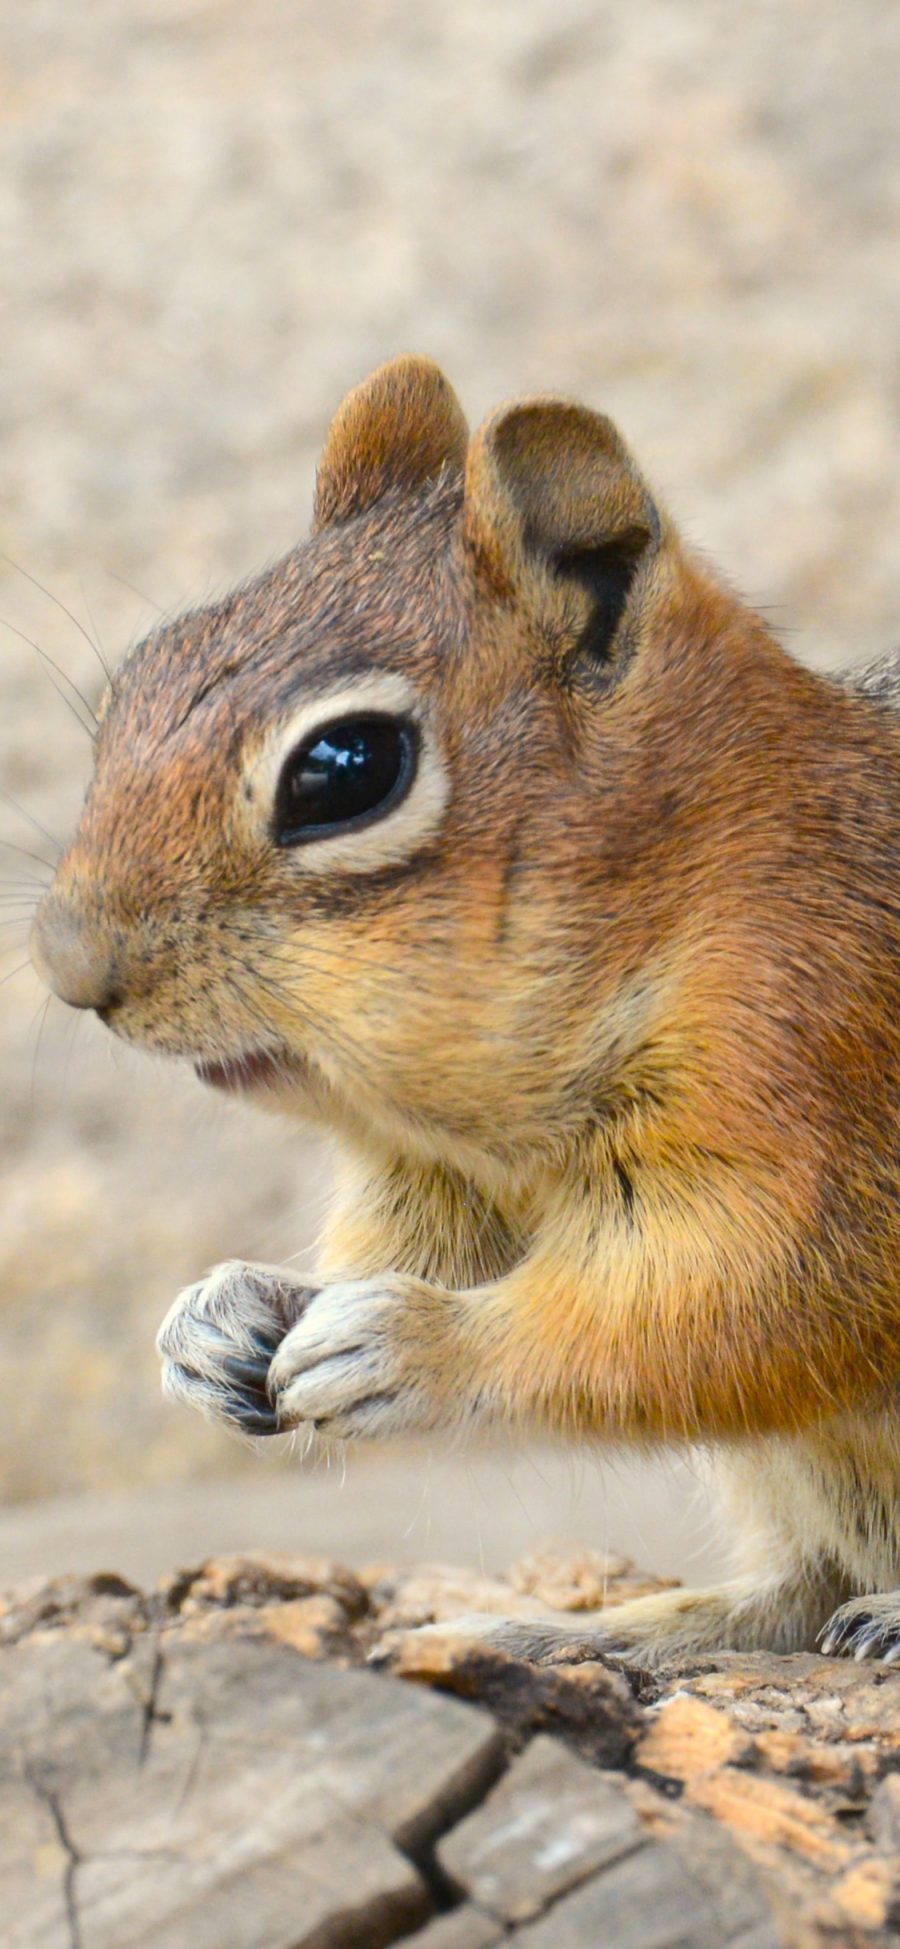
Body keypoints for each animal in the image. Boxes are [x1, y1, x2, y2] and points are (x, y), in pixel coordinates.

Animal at [31, 358, 900, 1668]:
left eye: (344, 766)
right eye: (144, 669)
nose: (69, 967)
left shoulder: (807, 1050)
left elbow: (731, 1304)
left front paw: (413, 1344)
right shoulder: (431, 1175)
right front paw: (224, 1315)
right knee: (795, 1592)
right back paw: (577, 1626)